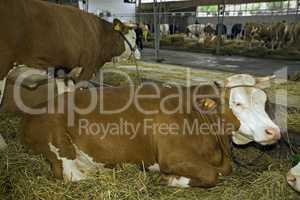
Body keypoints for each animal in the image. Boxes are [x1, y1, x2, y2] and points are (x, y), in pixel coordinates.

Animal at [0, 67, 282, 188]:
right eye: (237, 103)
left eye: (264, 101)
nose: (274, 132)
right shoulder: (173, 155)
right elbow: (211, 175)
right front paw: (172, 178)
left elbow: (225, 170)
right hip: (57, 142)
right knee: (70, 174)